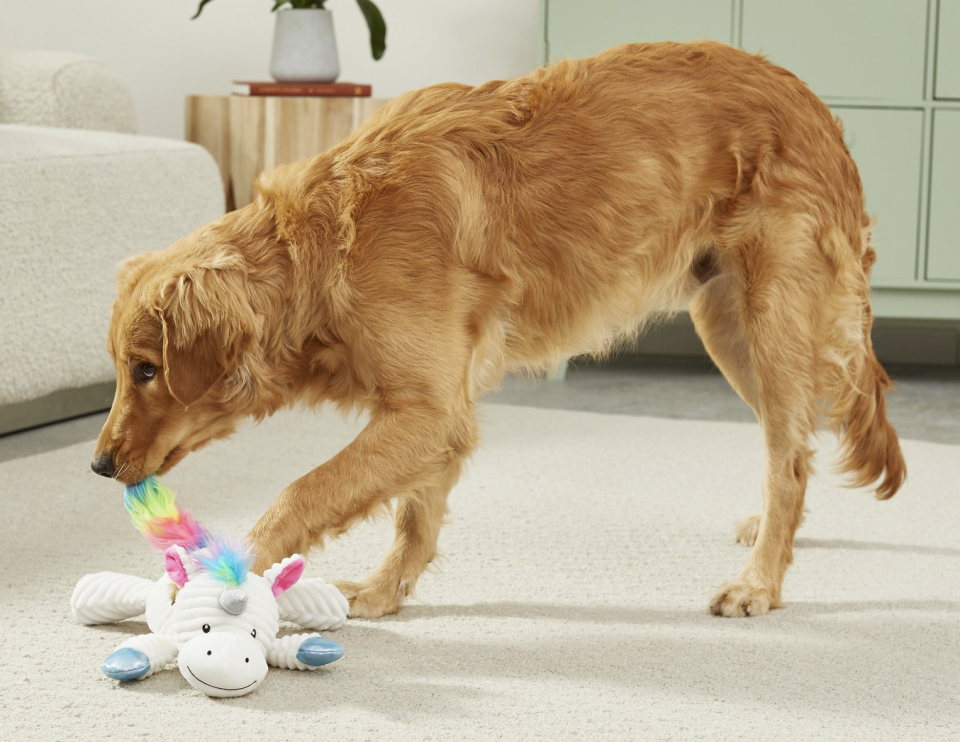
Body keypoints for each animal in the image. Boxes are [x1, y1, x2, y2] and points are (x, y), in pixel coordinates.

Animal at [92, 42, 908, 620]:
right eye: (124, 369)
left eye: (147, 369)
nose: (98, 465)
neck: (324, 247)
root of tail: (814, 105)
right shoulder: (434, 414)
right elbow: (414, 515)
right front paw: (385, 594)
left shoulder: (427, 410)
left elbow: (299, 494)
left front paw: (219, 584)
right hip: (727, 327)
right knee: (793, 447)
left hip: (768, 324)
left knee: (789, 460)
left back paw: (759, 584)